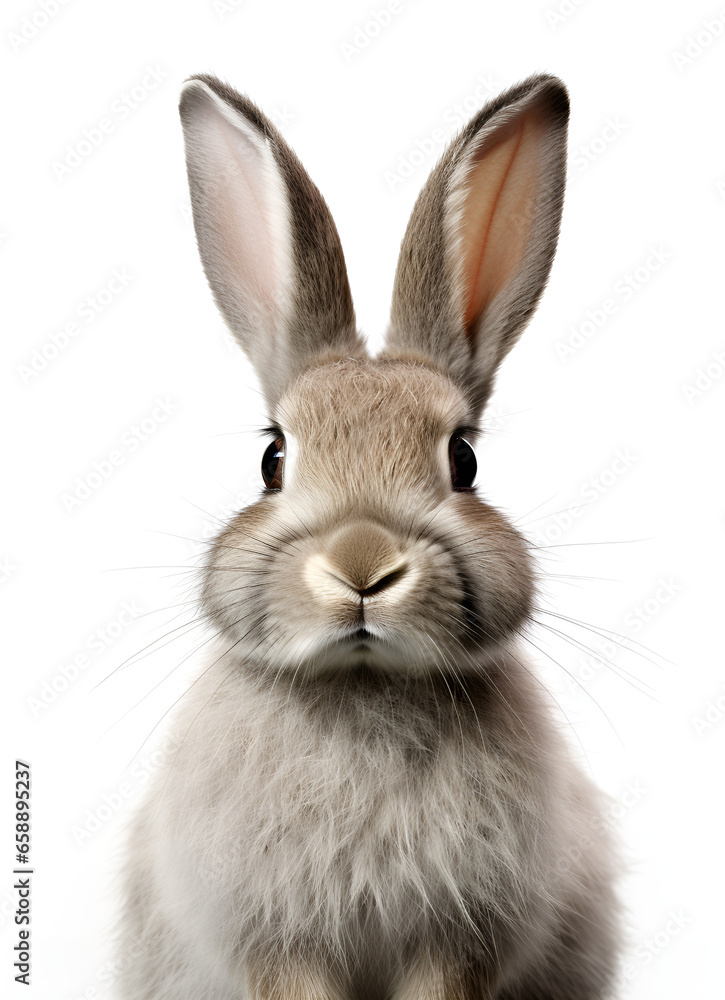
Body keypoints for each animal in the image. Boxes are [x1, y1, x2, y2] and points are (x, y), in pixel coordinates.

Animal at [118, 73, 621, 999]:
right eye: (273, 459)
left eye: (463, 460)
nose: (360, 566)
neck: (364, 688)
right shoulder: (280, 940)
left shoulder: (456, 941)